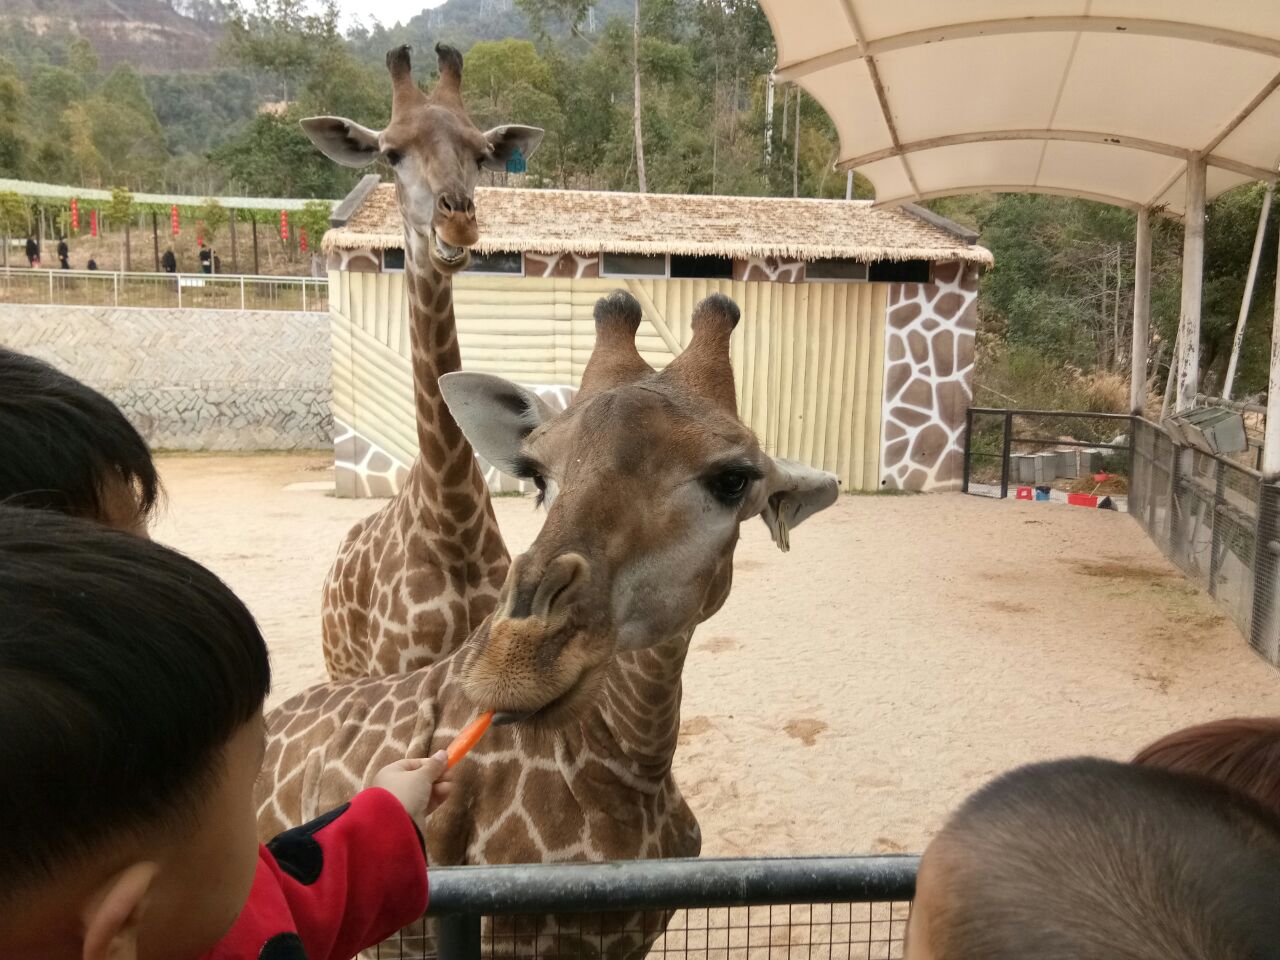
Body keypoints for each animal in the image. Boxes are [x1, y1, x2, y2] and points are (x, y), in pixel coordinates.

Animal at [300, 45, 545, 680]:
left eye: (481, 154)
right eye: (390, 152)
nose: (456, 218)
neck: (451, 523)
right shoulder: (399, 670)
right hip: (343, 669)